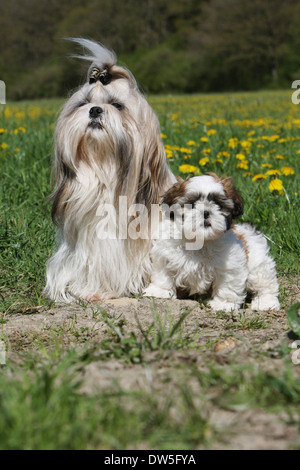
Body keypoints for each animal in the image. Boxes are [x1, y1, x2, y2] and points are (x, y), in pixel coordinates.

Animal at [144, 173, 280, 312]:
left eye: (218, 204)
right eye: (192, 204)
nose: (206, 212)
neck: (199, 241)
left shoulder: (230, 265)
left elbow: (227, 285)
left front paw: (224, 304)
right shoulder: (164, 254)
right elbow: (163, 274)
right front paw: (160, 291)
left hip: (258, 263)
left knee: (265, 283)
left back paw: (265, 302)